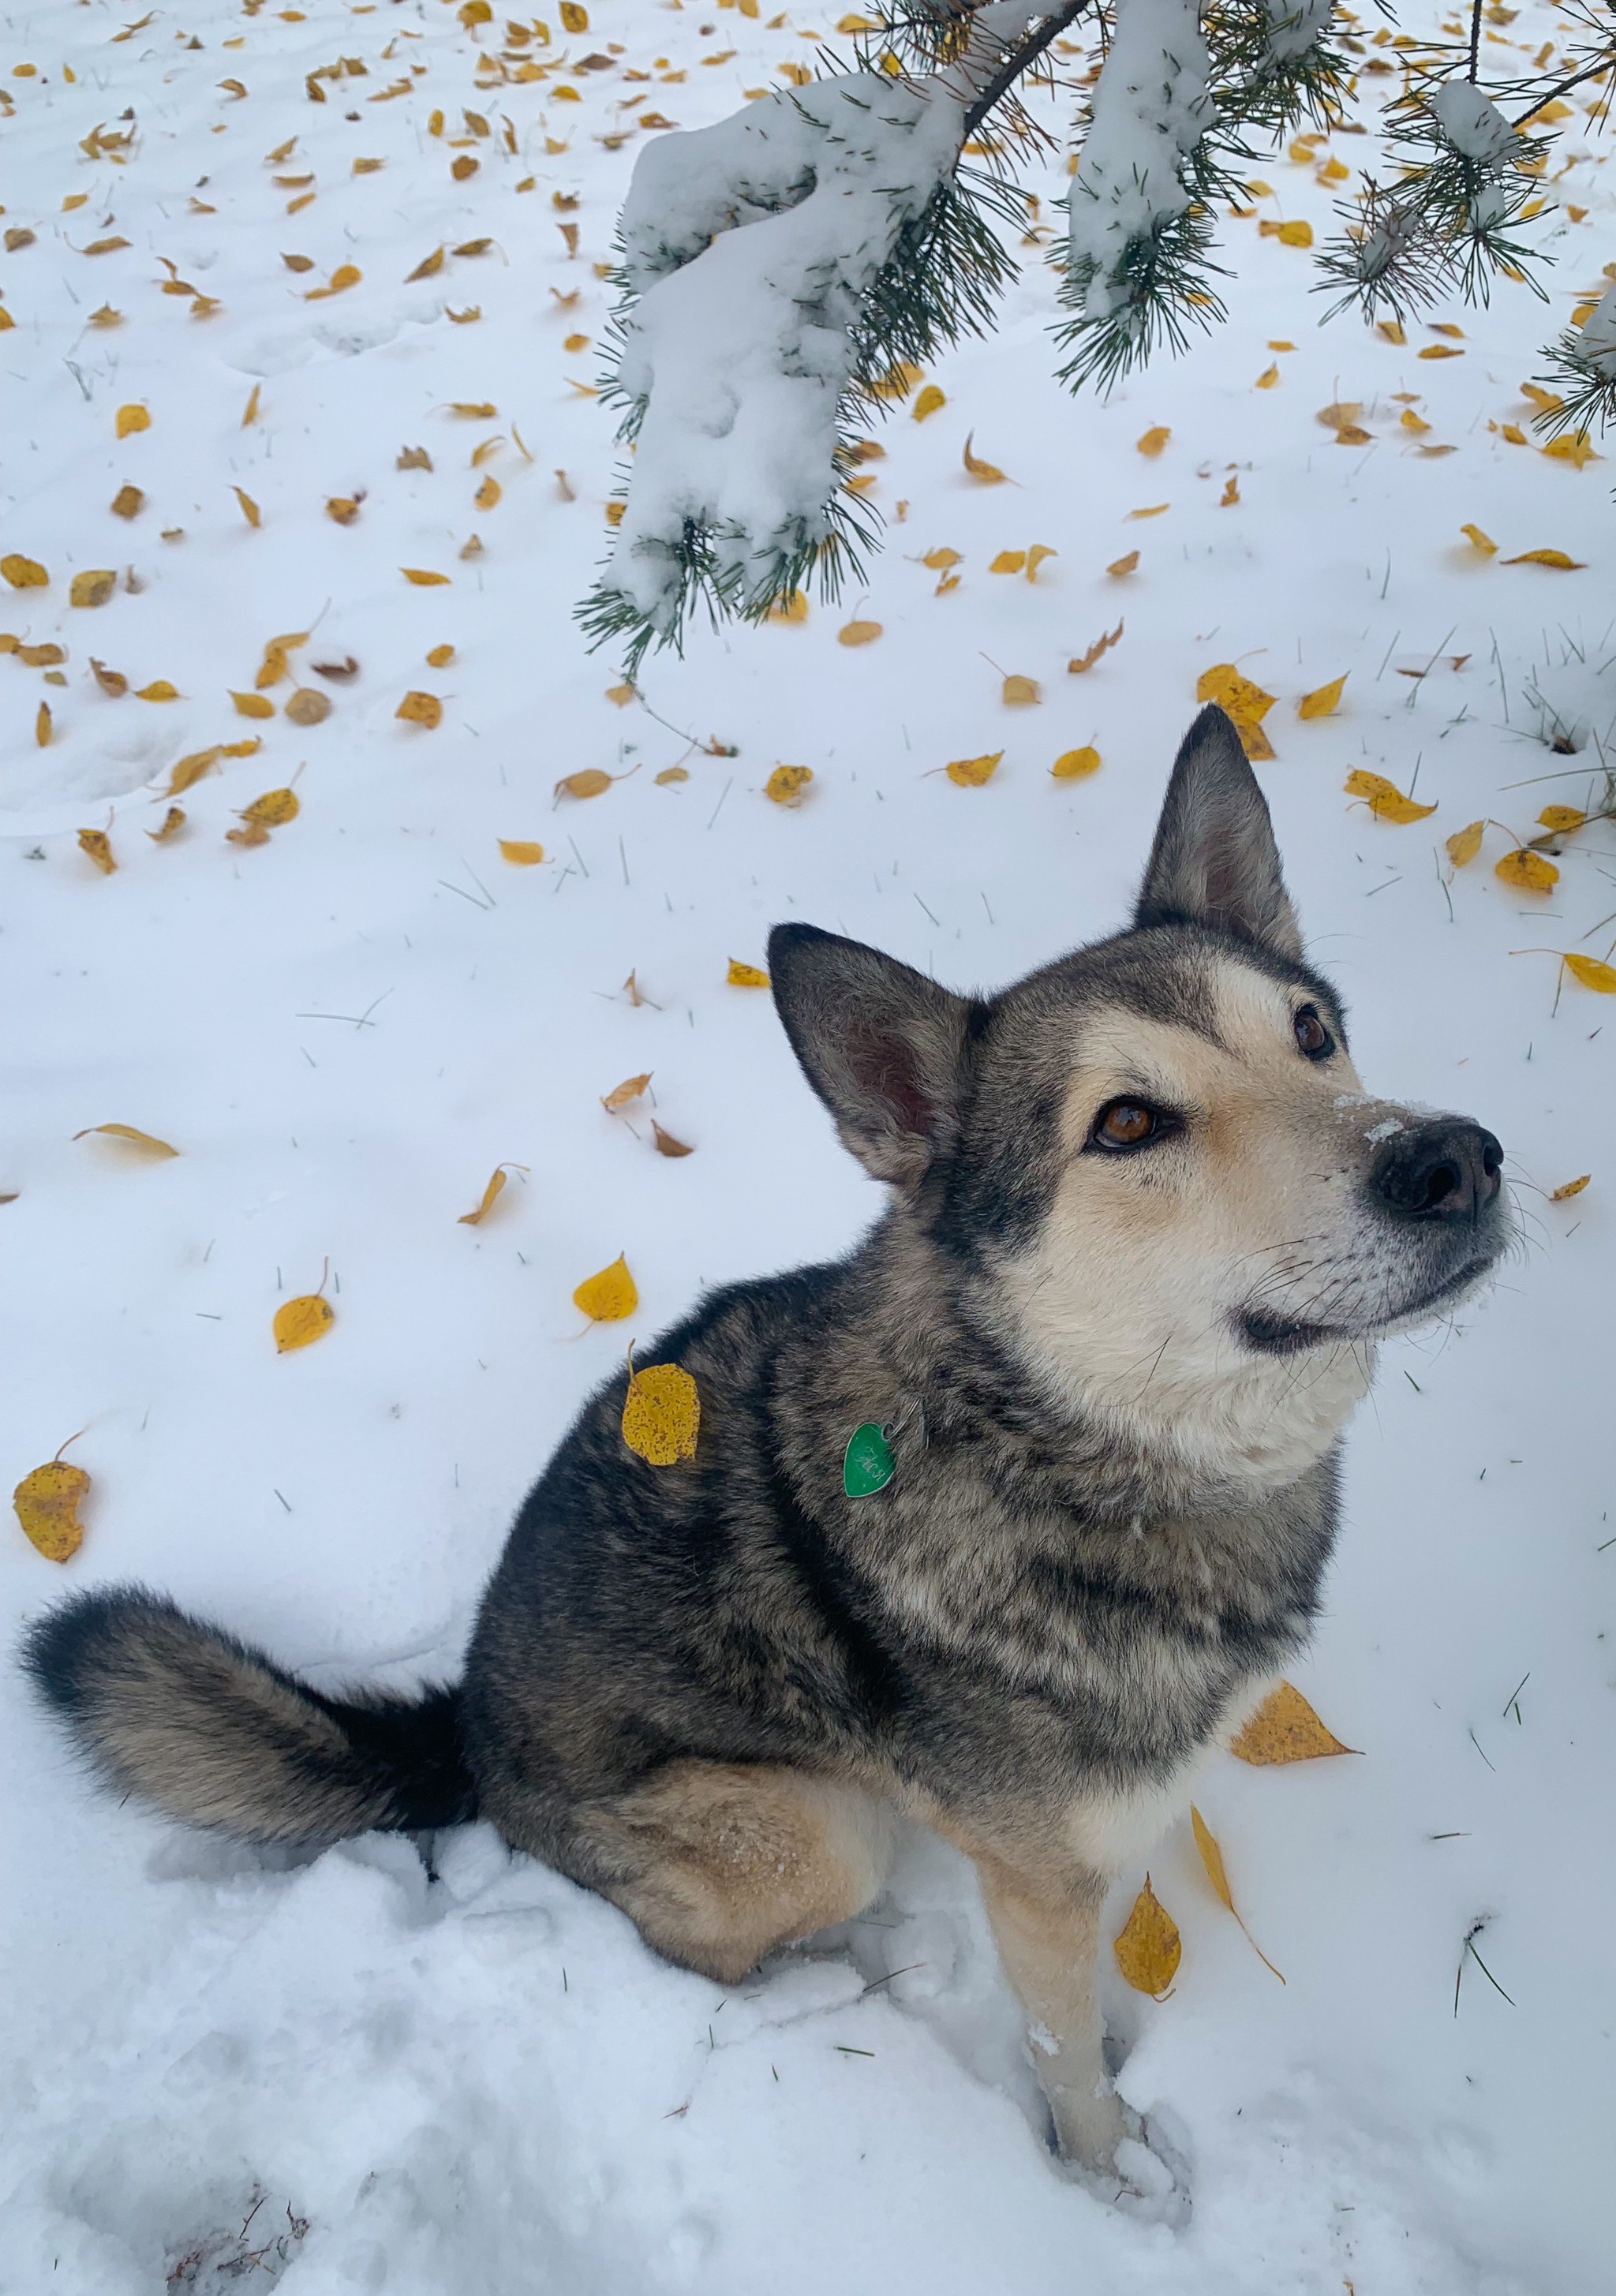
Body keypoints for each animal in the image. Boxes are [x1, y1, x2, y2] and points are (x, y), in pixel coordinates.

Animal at [25, 707, 1506, 2176]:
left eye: (1311, 1032)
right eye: (1128, 1123)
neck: (1063, 1450)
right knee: (711, 1945)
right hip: (806, 1828)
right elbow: (1065, 2055)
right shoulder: (1034, 1880)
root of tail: (465, 1730)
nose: (1454, 1162)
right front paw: (1108, 2181)